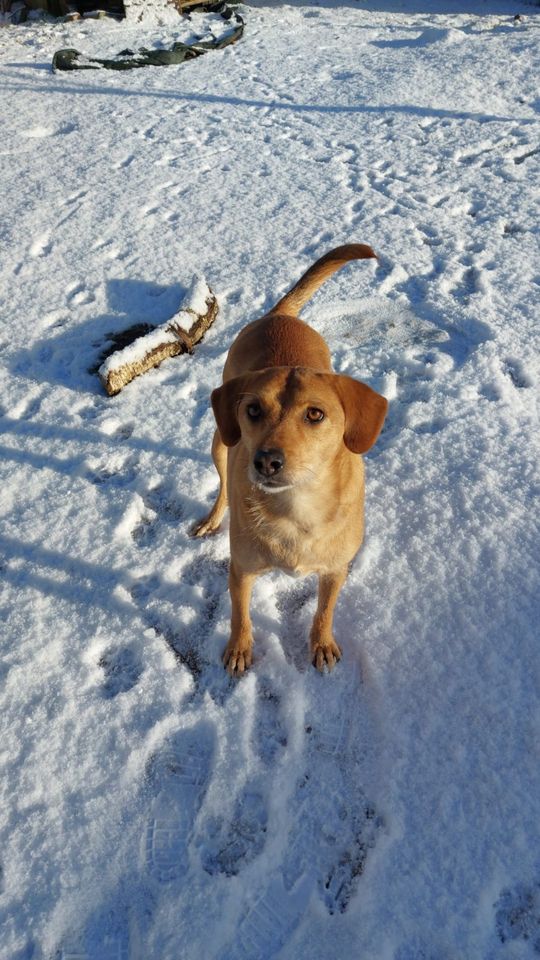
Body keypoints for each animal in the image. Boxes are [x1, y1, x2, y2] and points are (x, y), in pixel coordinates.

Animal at [194, 246, 388, 676]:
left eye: (315, 414)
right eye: (252, 410)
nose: (266, 461)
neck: (296, 510)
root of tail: (278, 315)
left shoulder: (335, 570)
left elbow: (324, 610)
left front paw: (322, 643)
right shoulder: (241, 569)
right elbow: (240, 614)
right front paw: (239, 648)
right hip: (219, 443)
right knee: (222, 485)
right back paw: (213, 518)